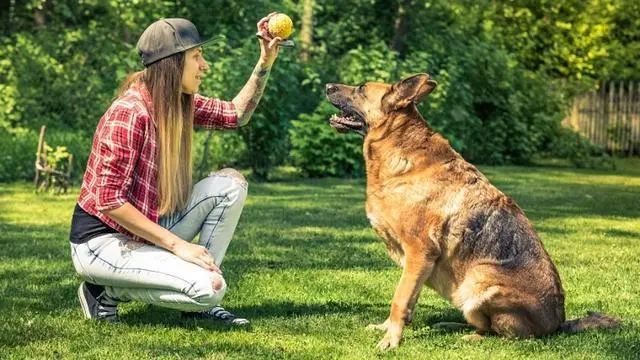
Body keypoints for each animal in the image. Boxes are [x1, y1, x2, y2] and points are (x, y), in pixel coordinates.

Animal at [324, 74, 620, 350]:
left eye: (361, 89)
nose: (327, 86)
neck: (399, 149)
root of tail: (558, 323)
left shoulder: (420, 252)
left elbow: (400, 298)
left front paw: (391, 339)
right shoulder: (417, 263)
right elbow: (409, 299)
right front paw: (388, 328)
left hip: (478, 280)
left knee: (507, 335)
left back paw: (470, 337)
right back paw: (452, 326)